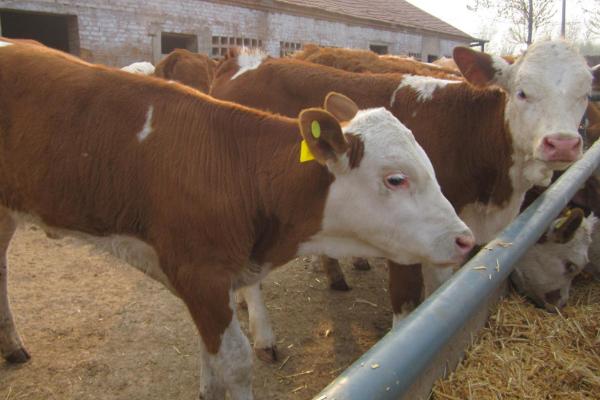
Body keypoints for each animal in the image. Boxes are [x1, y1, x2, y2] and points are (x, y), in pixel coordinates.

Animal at [0, 39, 472, 400]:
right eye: (396, 179)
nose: (465, 240)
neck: (235, 167)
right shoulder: (201, 274)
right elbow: (235, 363)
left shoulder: (210, 283)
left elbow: (211, 364)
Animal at [211, 39, 596, 346]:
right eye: (522, 92)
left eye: (584, 95)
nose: (562, 143)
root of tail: (242, 60)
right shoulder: (403, 234)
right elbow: (408, 307)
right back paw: (263, 334)